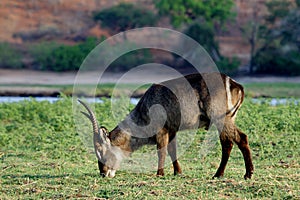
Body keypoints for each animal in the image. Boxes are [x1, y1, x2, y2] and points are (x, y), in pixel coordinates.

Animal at [78, 72, 253, 179]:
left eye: (101, 151)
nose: (103, 173)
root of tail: (236, 84)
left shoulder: (161, 130)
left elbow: (161, 152)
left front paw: (159, 173)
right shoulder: (172, 130)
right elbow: (172, 150)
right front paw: (178, 172)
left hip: (221, 119)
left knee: (236, 140)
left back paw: (237, 174)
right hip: (227, 119)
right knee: (234, 141)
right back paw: (232, 174)